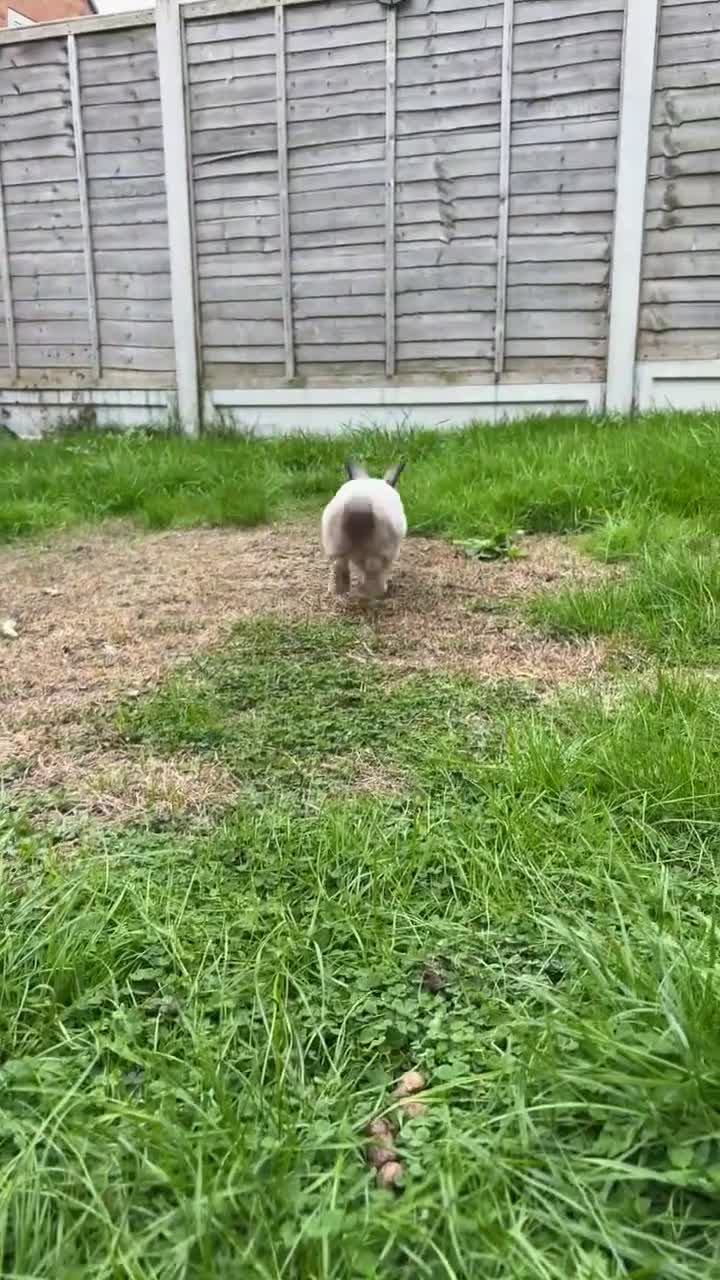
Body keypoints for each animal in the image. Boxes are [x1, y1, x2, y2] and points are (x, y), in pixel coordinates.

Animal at [321, 460, 407, 599]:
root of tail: (359, 502)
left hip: (335, 547)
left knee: (339, 567)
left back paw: (339, 591)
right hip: (380, 552)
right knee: (373, 575)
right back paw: (377, 593)